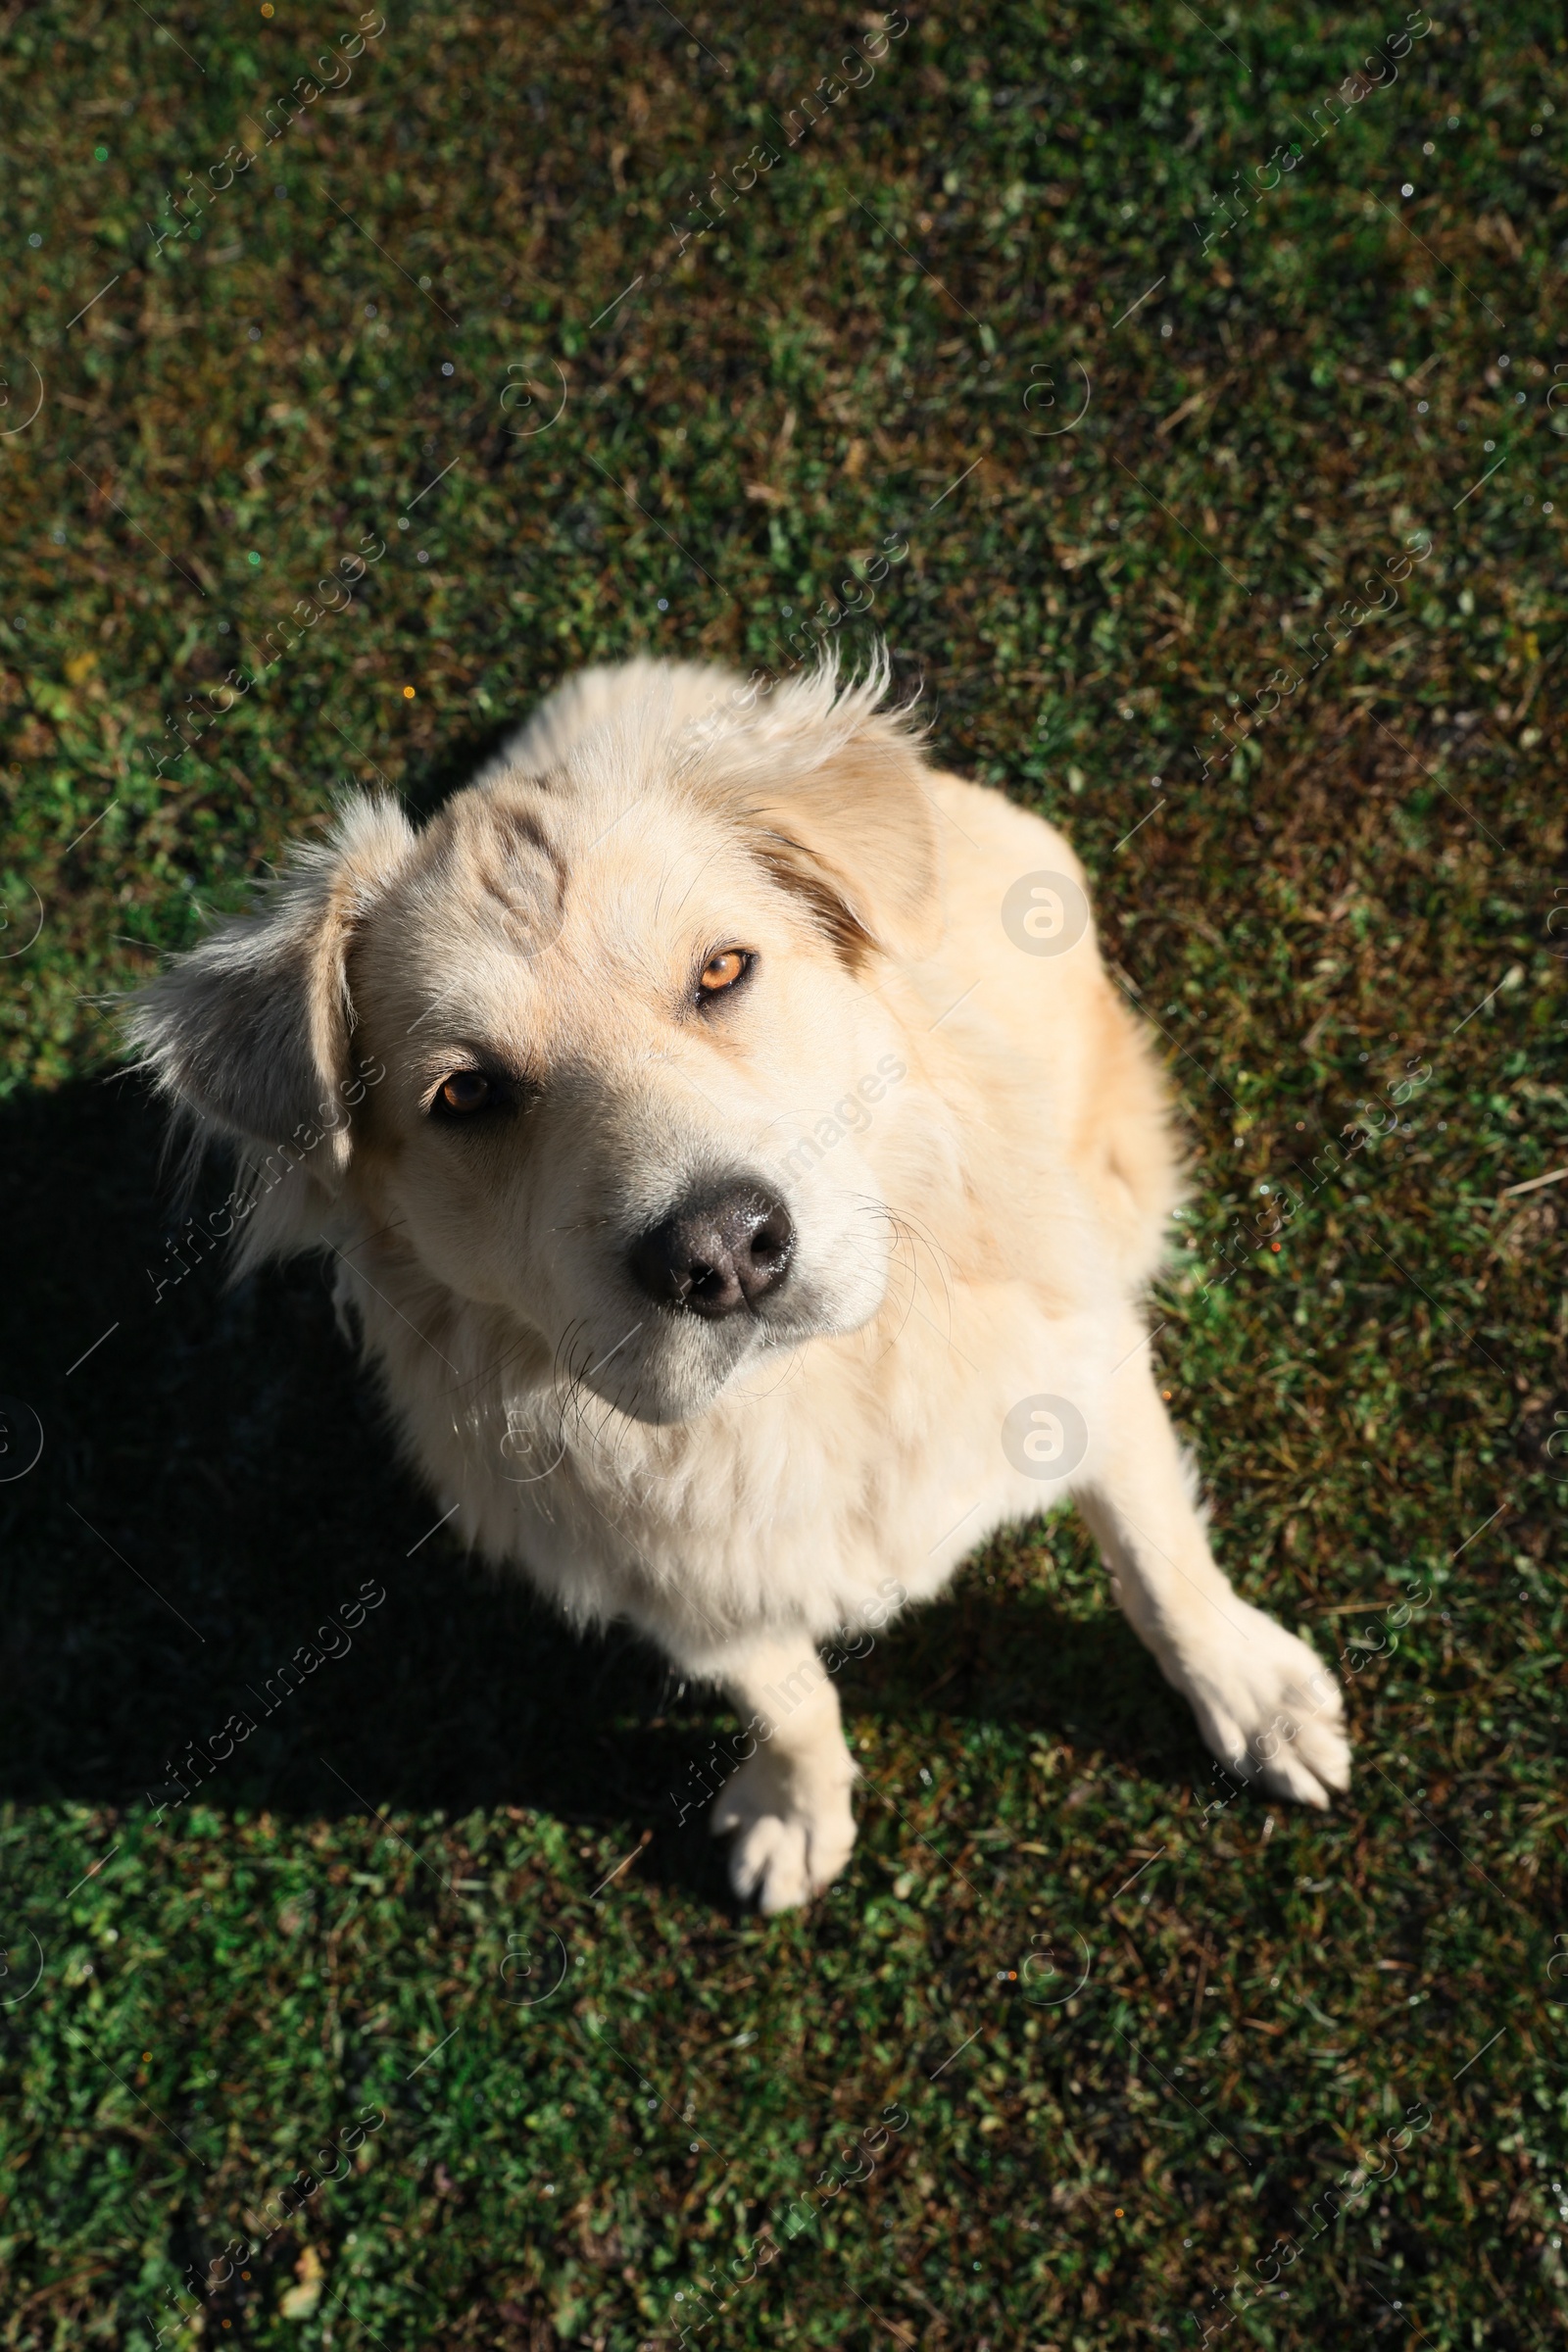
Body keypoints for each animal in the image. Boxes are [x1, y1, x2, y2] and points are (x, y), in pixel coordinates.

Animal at [131, 659, 1353, 1909]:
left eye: (721, 971)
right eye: (465, 1095)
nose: (721, 1252)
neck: (797, 1400)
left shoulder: (1092, 1380)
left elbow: (1162, 1565)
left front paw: (1253, 1698)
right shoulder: (689, 1596)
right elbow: (789, 1700)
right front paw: (796, 1810)